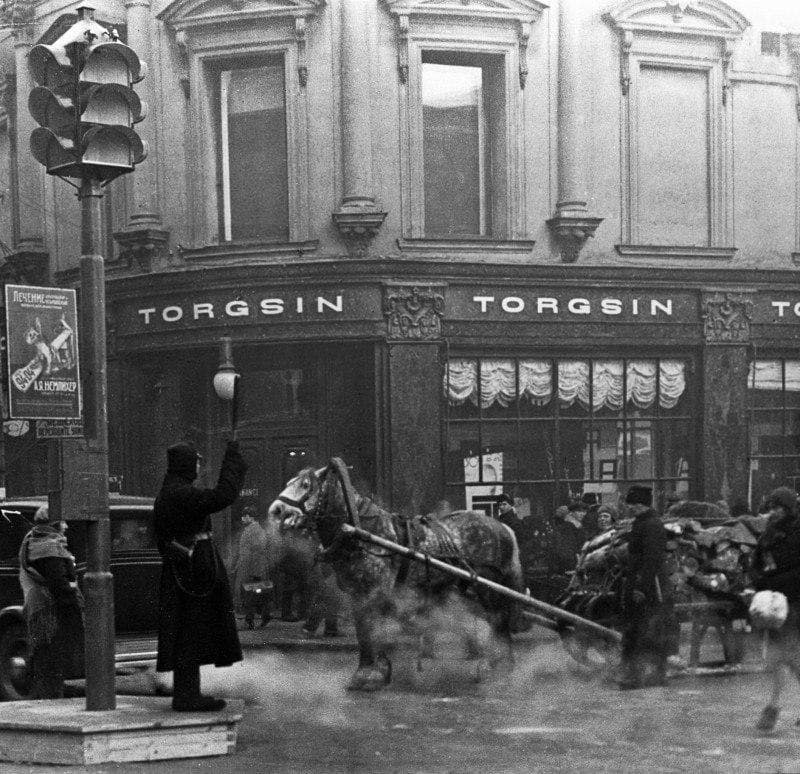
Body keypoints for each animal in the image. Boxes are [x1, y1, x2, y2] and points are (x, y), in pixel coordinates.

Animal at [272, 460, 528, 692]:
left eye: (306, 485)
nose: (275, 510)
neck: (365, 534)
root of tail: (503, 528)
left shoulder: (372, 592)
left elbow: (370, 630)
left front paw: (369, 674)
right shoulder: (358, 594)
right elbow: (368, 632)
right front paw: (376, 670)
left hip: (489, 589)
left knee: (499, 622)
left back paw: (499, 668)